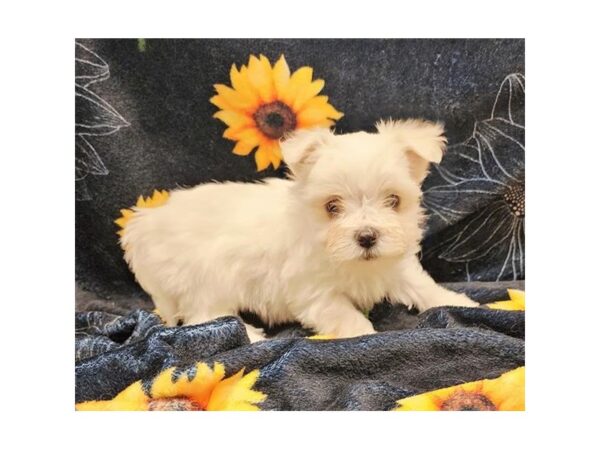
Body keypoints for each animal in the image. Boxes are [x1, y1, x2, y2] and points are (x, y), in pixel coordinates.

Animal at [120, 119, 478, 342]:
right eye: (332, 206)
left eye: (394, 200)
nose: (367, 237)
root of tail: (147, 225)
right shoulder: (314, 292)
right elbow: (347, 316)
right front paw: (367, 337)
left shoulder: (393, 263)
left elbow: (421, 284)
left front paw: (462, 304)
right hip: (208, 280)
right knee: (206, 317)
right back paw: (252, 337)